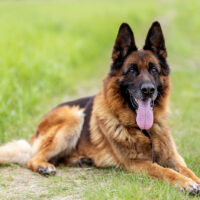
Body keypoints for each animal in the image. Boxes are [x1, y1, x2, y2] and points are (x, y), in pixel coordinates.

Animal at [0, 21, 200, 195]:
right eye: (132, 70)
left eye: (154, 70)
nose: (148, 90)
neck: (145, 132)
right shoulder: (137, 163)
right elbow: (166, 171)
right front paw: (186, 183)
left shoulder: (173, 157)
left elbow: (188, 170)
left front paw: (193, 180)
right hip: (74, 116)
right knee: (32, 158)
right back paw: (44, 166)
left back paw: (79, 159)